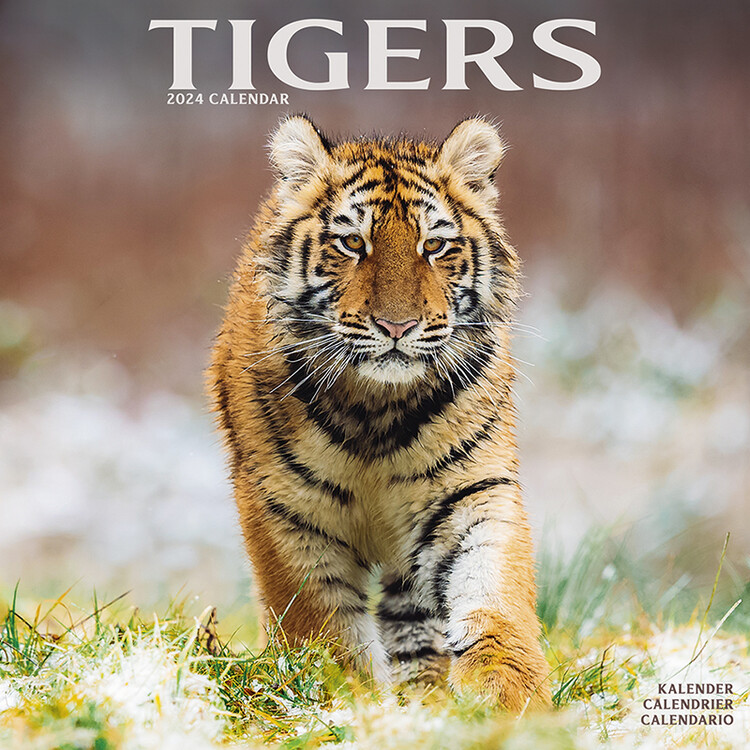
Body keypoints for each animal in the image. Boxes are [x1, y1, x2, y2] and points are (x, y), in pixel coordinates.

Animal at [208, 114, 551, 711]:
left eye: (434, 245)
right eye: (352, 242)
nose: (397, 326)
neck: (377, 407)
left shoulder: (471, 490)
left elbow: (492, 587)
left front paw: (511, 693)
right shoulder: (287, 512)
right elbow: (322, 624)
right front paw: (348, 697)